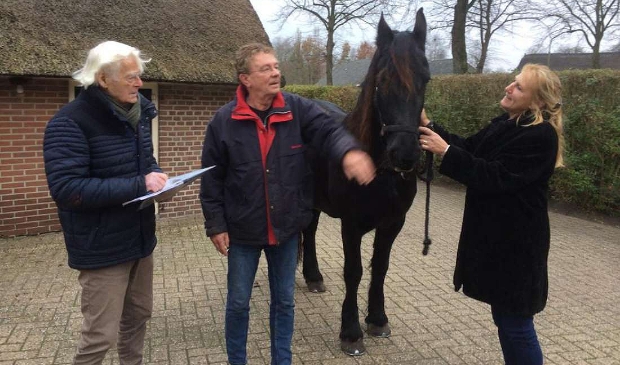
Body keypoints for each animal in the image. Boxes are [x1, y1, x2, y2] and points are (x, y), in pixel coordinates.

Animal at [302, 8, 428, 356]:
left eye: (426, 79)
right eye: (383, 81)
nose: (406, 154)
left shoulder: (393, 223)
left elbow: (380, 268)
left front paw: (378, 319)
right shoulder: (352, 223)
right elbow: (354, 271)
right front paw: (350, 332)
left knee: (310, 231)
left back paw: (313, 277)